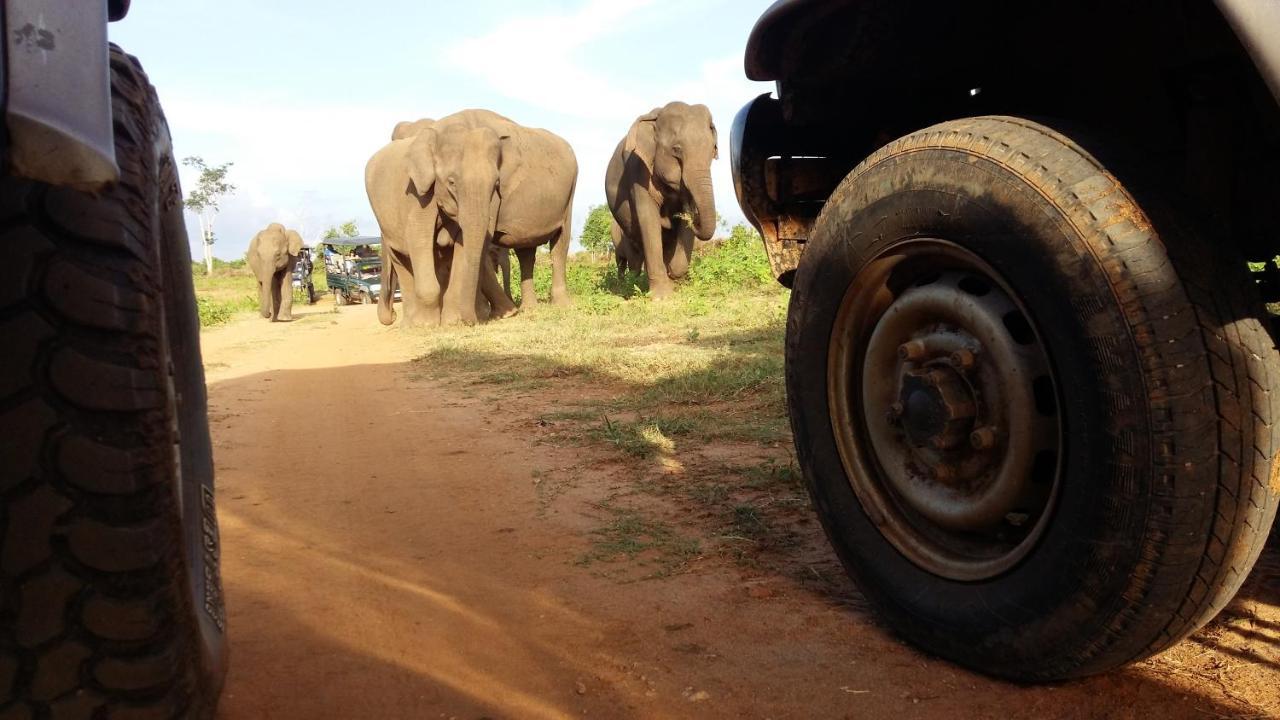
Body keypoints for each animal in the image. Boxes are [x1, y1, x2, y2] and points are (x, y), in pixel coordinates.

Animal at [366, 106, 576, 325]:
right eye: (451, 182)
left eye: (497, 184)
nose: (391, 315)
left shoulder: (492, 200)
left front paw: (463, 319)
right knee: (526, 252)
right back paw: (528, 309)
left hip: (569, 195)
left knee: (560, 245)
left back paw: (561, 306)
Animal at [604, 99, 716, 297]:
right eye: (676, 150)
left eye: (712, 151)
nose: (693, 217)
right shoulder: (637, 170)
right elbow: (648, 218)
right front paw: (661, 296)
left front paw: (674, 275)